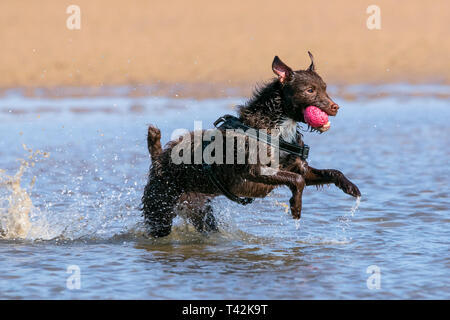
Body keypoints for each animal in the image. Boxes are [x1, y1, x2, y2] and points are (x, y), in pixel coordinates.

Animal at [142, 53, 360, 238]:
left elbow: (329, 172)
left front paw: (350, 187)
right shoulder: (255, 170)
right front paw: (295, 206)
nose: (335, 107)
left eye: (325, 88)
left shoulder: (297, 166)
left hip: (199, 211)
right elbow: (298, 181)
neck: (278, 126)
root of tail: (159, 158)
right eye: (310, 90)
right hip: (160, 208)